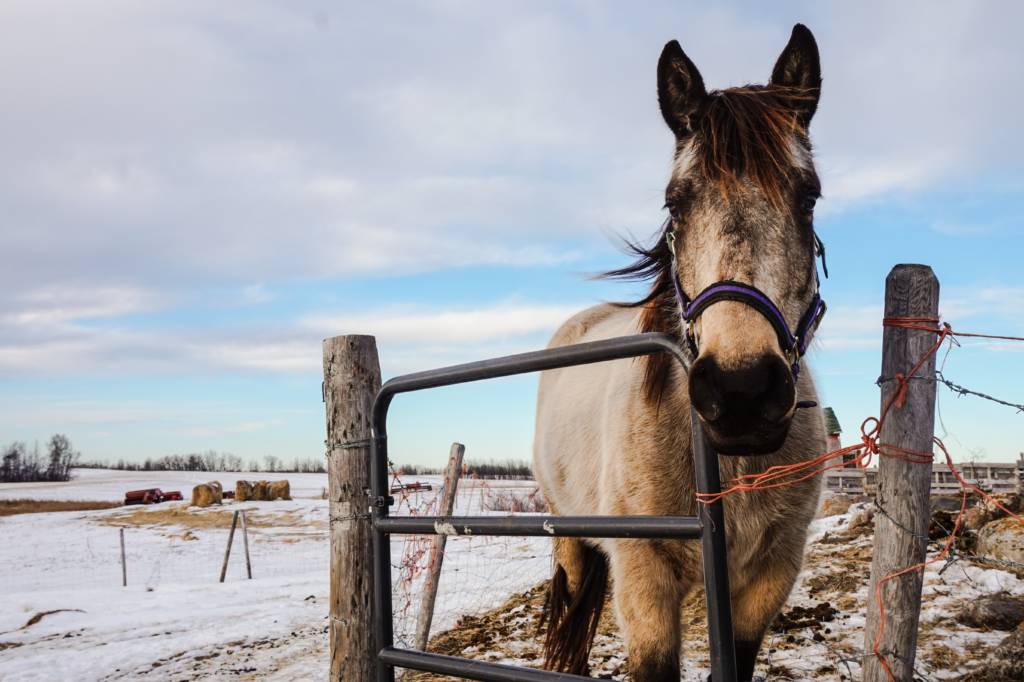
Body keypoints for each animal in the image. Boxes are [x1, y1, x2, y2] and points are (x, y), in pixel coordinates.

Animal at [533, 24, 828, 681]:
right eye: (675, 203)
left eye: (809, 198)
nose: (742, 392)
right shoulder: (644, 583)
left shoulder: (769, 578)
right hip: (570, 541)